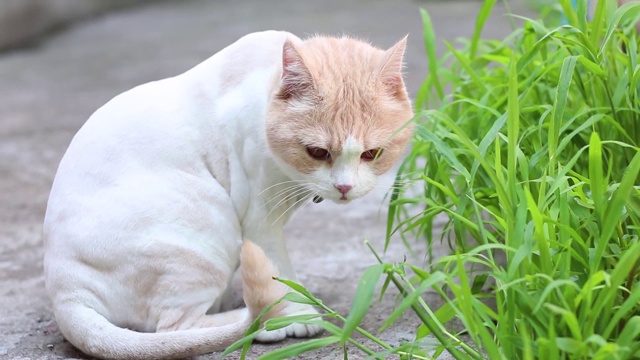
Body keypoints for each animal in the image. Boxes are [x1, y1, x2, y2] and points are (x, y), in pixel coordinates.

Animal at [45, 29, 416, 358]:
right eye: (317, 152)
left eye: (372, 154)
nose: (344, 187)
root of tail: (66, 292)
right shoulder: (260, 222)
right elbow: (279, 269)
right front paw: (297, 312)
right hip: (209, 228)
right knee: (176, 328)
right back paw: (260, 321)